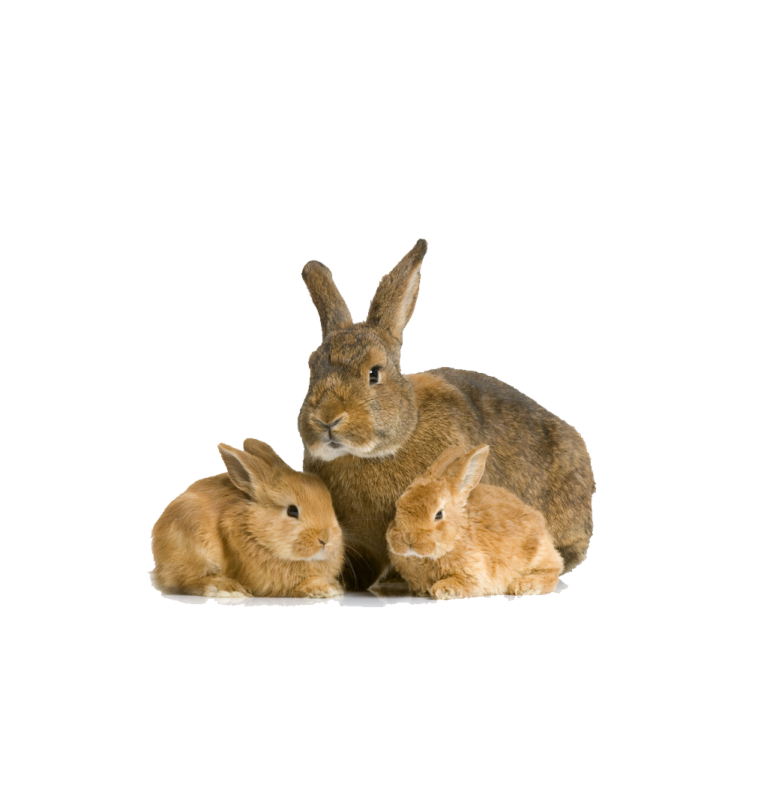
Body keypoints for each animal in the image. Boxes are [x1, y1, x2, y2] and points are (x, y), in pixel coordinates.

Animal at [150, 438, 344, 598]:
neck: (254, 529)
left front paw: (334, 586)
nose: (326, 539)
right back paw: (225, 588)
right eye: (292, 511)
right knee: (187, 581)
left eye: (330, 505)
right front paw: (323, 589)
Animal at [386, 445, 564, 600]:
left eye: (438, 514)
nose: (408, 540)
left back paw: (524, 586)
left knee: (553, 572)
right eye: (398, 507)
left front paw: (442, 590)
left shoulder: (475, 574)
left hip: (537, 554)